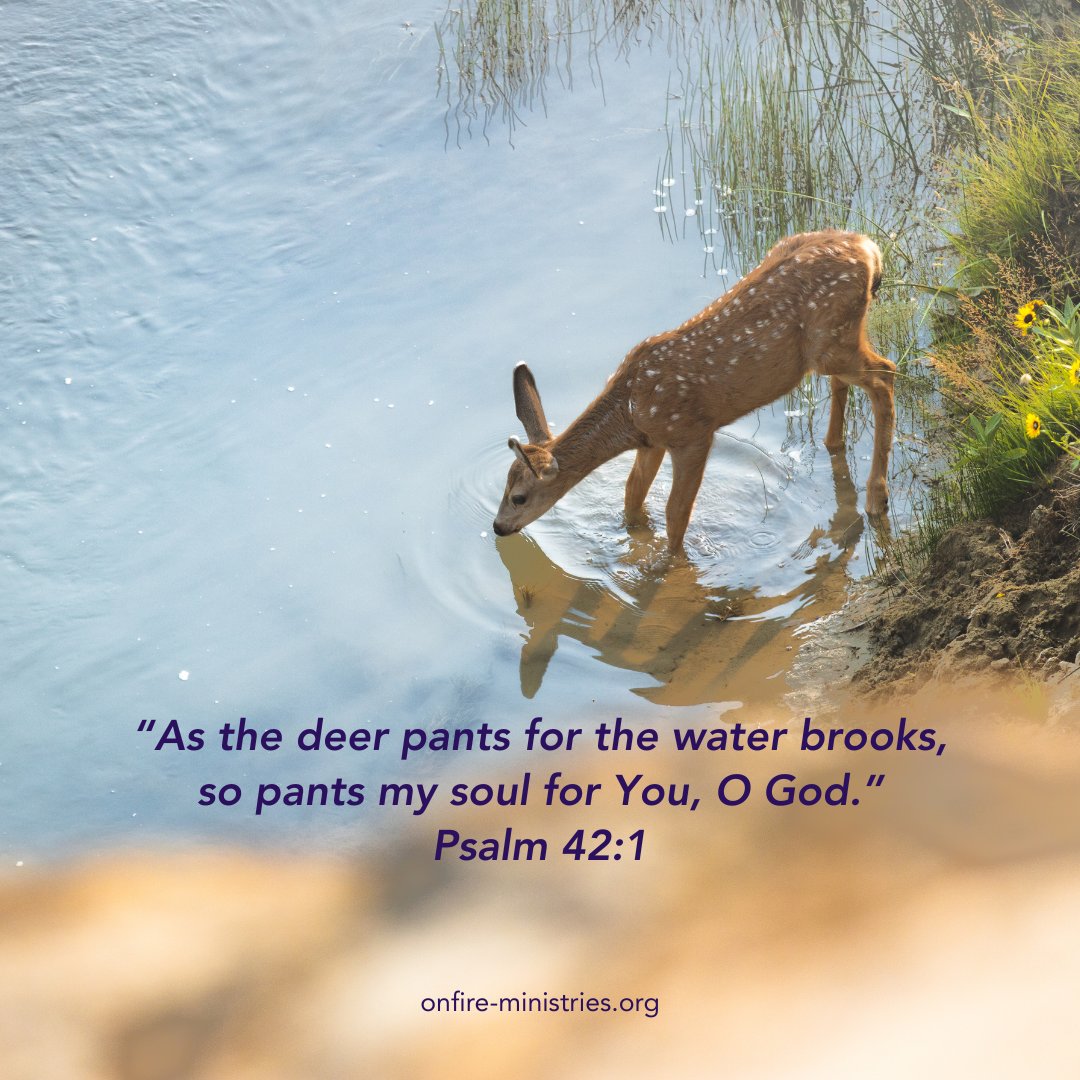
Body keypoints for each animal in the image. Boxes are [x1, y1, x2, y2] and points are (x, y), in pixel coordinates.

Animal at [492, 229, 896, 554]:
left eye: (518, 497)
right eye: (505, 485)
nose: (497, 527)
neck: (630, 409)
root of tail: (869, 249)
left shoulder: (691, 433)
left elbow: (676, 512)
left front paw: (671, 563)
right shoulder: (651, 442)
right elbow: (632, 494)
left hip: (831, 343)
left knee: (885, 375)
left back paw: (877, 497)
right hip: (834, 342)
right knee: (852, 380)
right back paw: (834, 446)